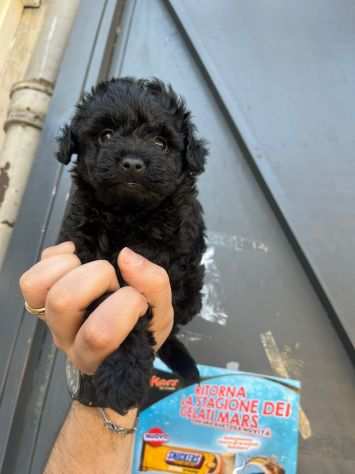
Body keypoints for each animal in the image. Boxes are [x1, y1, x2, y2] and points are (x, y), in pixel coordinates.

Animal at [56, 78, 207, 414]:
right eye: (106, 135)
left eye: (160, 143)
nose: (133, 164)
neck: (127, 214)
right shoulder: (85, 251)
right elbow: (109, 300)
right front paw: (119, 377)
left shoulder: (161, 259)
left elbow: (132, 297)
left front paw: (122, 377)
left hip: (192, 295)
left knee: (173, 328)